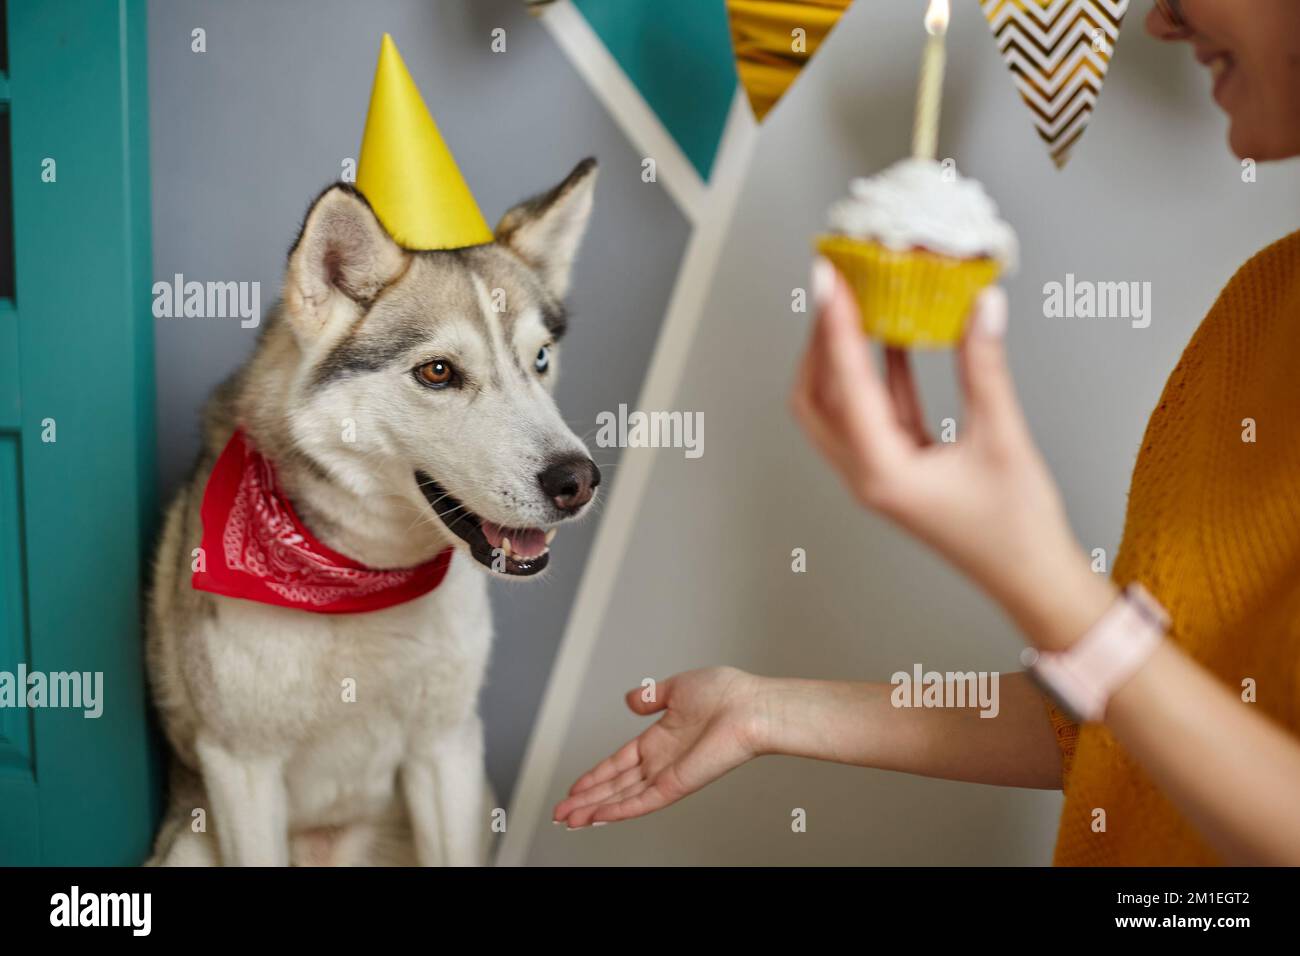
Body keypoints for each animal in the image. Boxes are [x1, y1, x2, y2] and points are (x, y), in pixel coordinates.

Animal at [146, 158, 598, 868]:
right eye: (438, 372)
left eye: (541, 359)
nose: (577, 480)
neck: (363, 579)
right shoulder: (241, 766)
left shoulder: (447, 747)